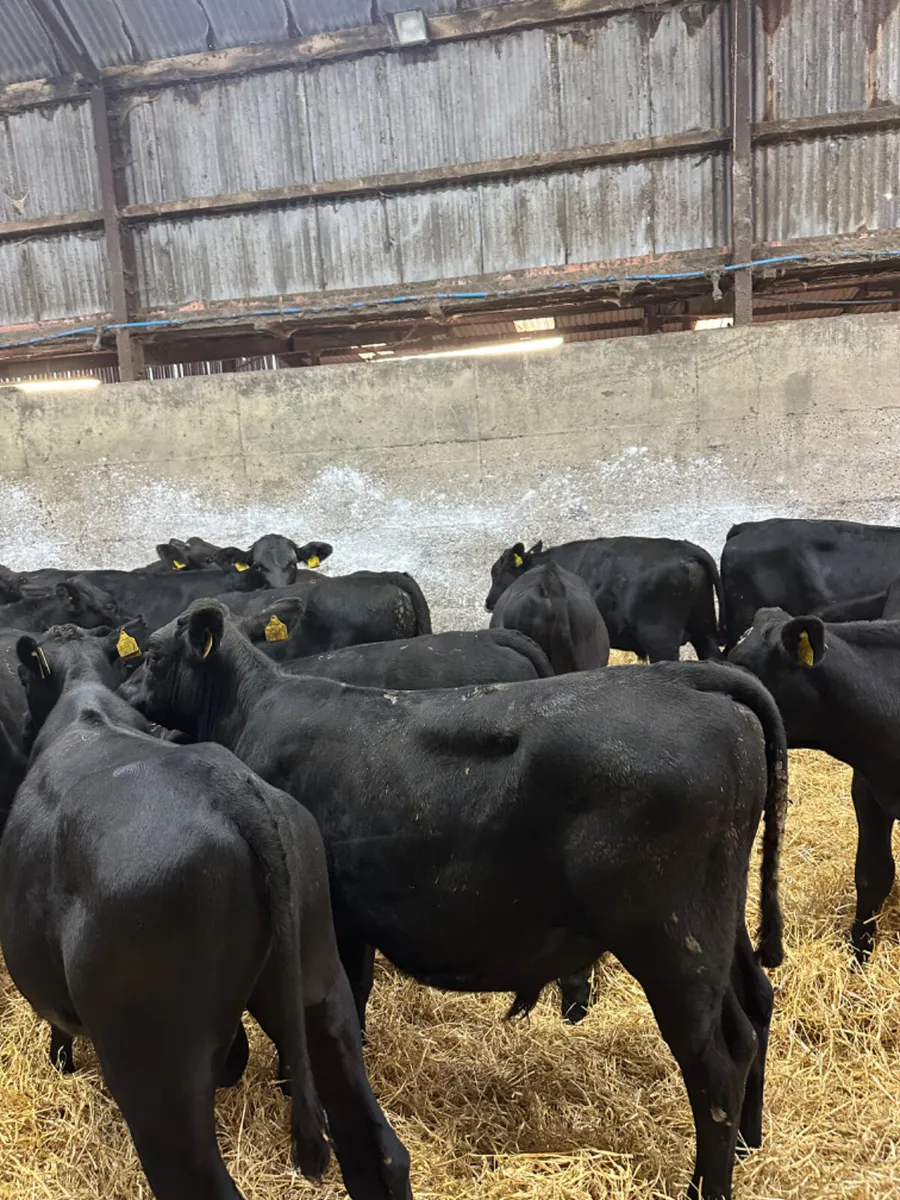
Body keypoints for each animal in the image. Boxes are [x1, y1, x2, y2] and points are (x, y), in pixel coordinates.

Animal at [0, 624, 411, 1200]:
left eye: (21, 676)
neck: (86, 703)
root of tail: (233, 792)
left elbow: (58, 1027)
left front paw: (60, 1062)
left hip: (158, 1070)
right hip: (322, 990)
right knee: (381, 1151)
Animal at [129, 598, 787, 1200]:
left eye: (152, 655)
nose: (128, 697)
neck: (253, 707)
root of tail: (690, 679)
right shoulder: (349, 916)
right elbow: (352, 995)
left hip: (672, 941)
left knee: (715, 1065)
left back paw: (707, 1185)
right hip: (718, 925)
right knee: (754, 1009)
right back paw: (750, 1143)